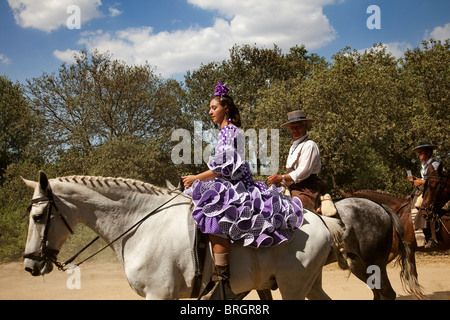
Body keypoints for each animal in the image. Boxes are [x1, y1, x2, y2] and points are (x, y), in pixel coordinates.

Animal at [22, 172, 344, 300]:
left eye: (38, 217)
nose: (29, 265)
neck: (141, 225)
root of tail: (319, 220)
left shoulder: (158, 294)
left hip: (293, 287)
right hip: (308, 285)